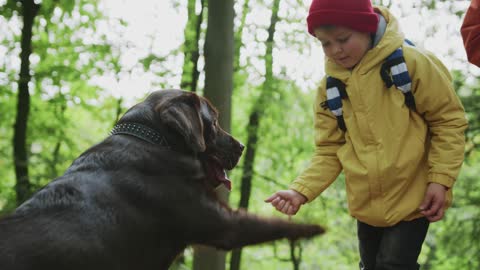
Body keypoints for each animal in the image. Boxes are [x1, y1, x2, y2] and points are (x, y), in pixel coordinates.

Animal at [0, 89, 324, 268]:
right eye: (214, 121)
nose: (242, 146)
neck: (155, 141)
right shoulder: (223, 223)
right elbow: (270, 224)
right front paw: (314, 228)